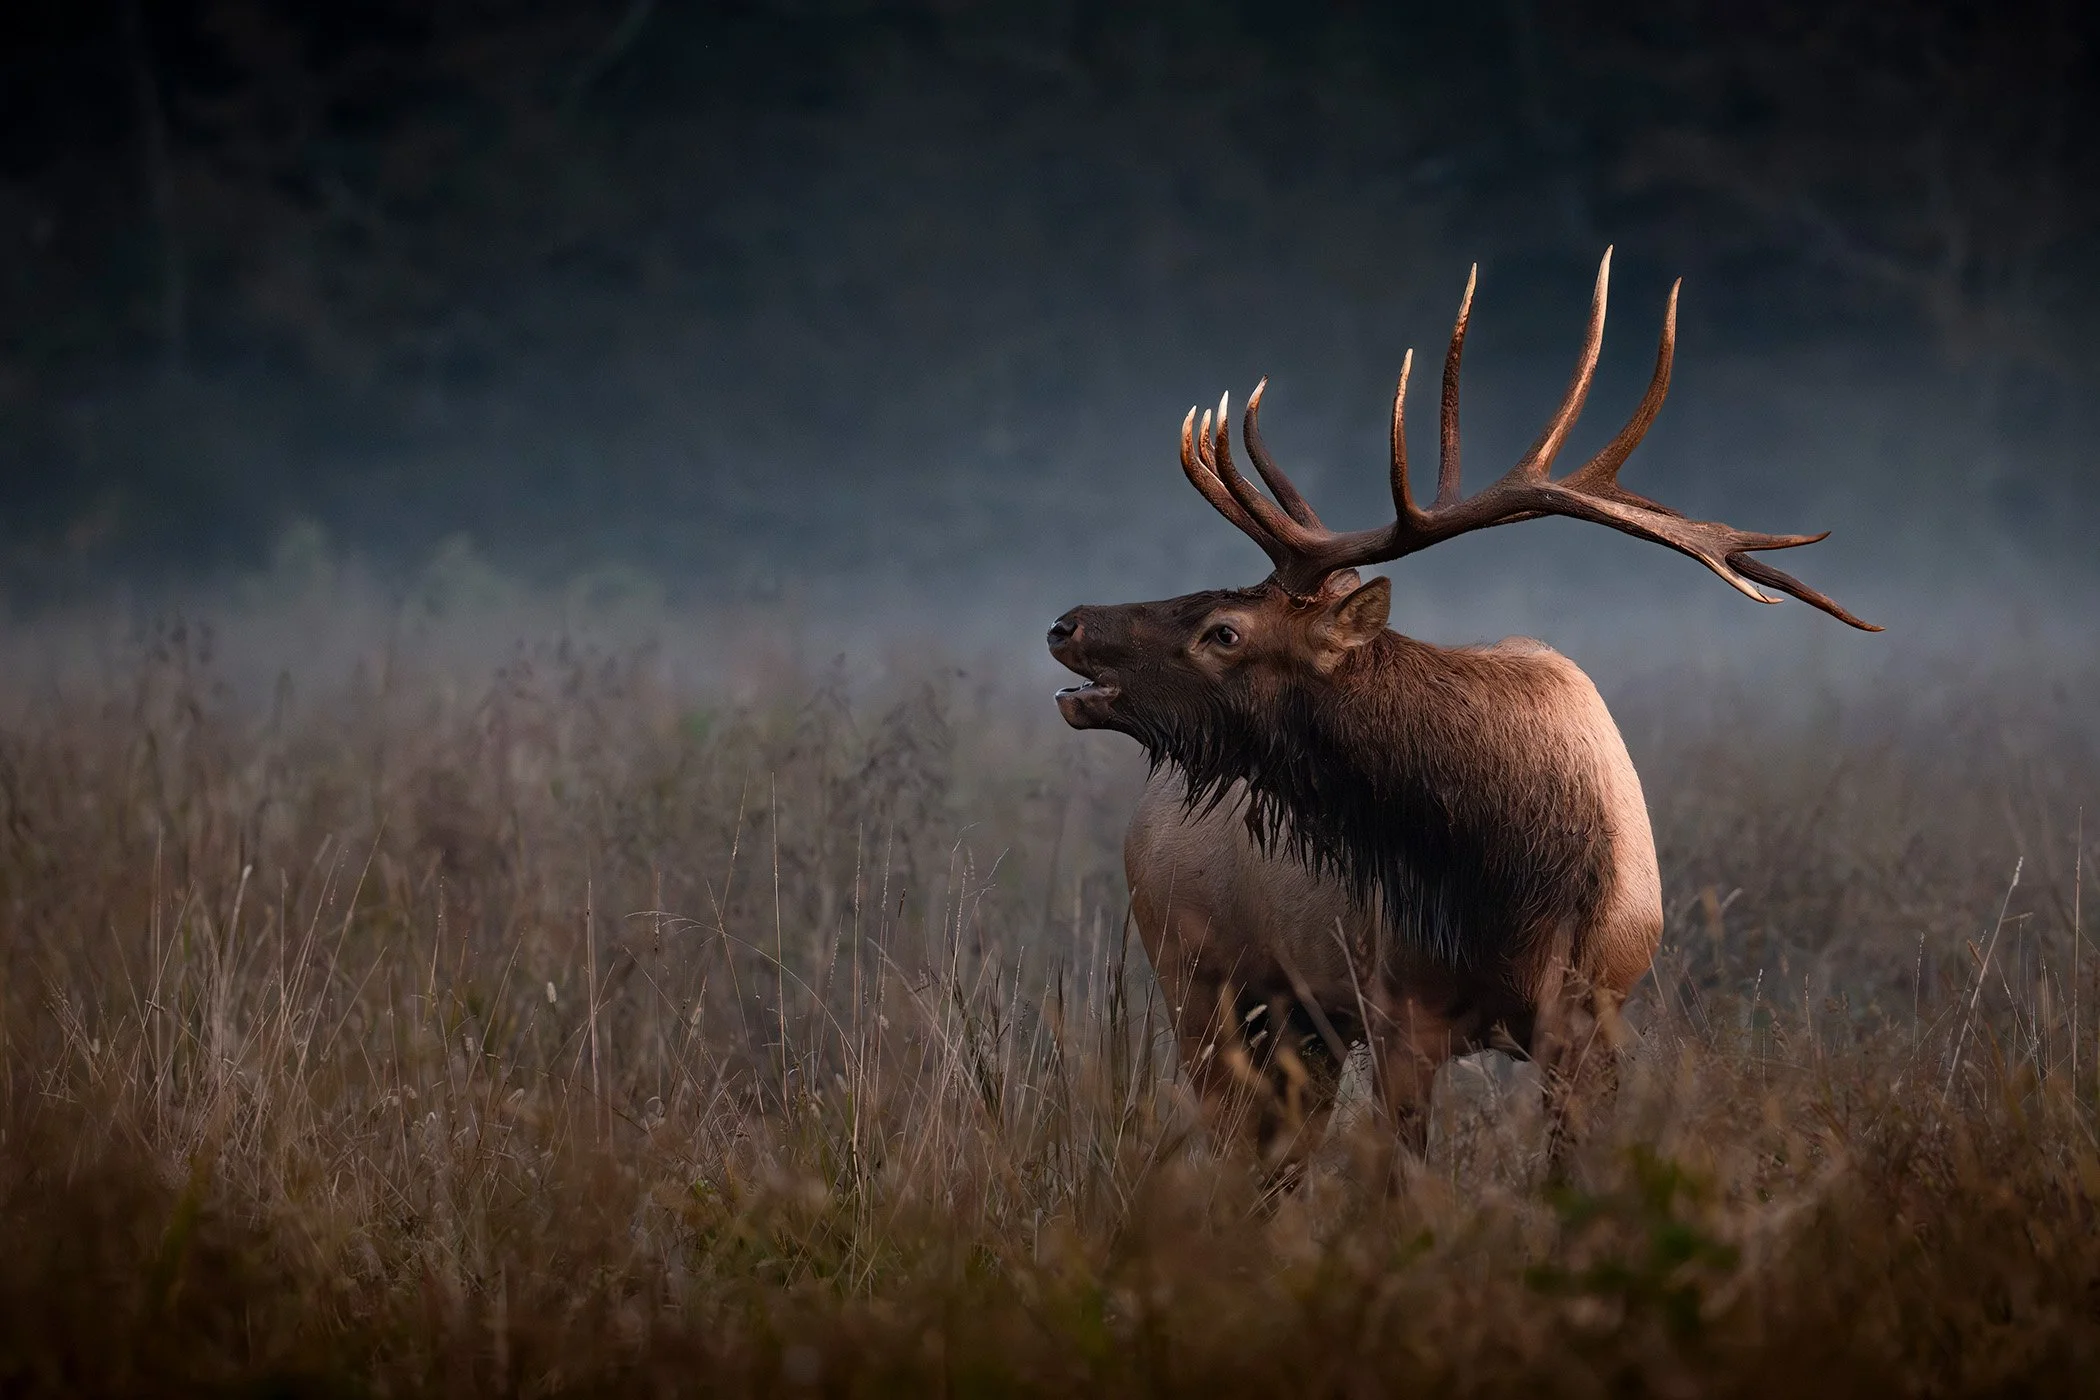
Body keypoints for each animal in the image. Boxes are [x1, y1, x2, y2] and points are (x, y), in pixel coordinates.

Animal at [1047, 250, 1876, 1178]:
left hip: (1295, 1019)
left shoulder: (1591, 1015)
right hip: (1194, 976)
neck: (1514, 882)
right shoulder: (1396, 1010)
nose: (1067, 623)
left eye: (1224, 630)